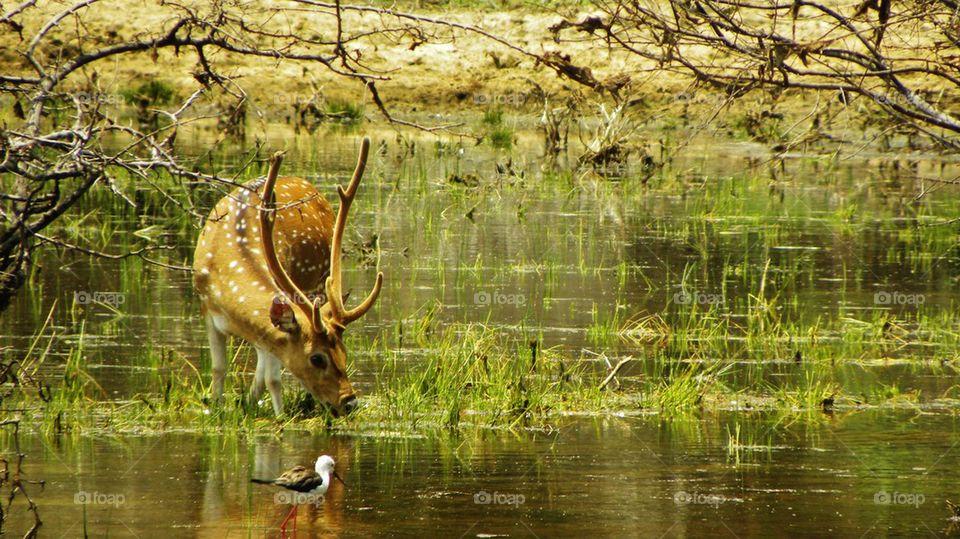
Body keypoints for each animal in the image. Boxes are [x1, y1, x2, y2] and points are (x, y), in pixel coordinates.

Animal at [192, 137, 382, 417]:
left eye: (345, 352)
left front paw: (279, 417)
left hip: (318, 284)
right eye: (317, 358)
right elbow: (219, 369)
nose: (350, 403)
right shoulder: (207, 310)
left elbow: (272, 378)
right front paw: (217, 407)